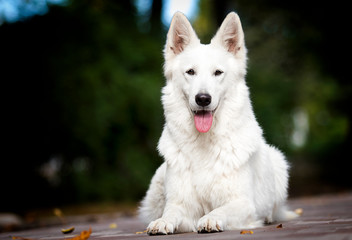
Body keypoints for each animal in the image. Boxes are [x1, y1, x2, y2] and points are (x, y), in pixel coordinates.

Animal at [138, 11, 296, 234]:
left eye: (218, 73)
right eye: (191, 72)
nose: (203, 99)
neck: (204, 142)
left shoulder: (242, 203)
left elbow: (220, 210)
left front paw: (211, 219)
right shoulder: (181, 205)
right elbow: (171, 212)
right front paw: (162, 221)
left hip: (278, 161)